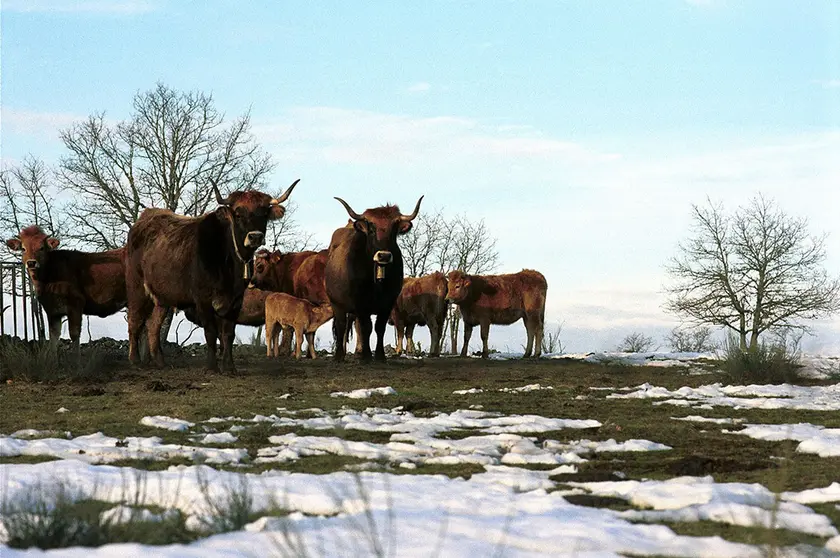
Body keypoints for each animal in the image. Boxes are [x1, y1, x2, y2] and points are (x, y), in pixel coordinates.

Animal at [5, 225, 127, 357]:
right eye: (23, 248)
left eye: (41, 248)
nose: (31, 262)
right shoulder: (52, 309)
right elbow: (53, 336)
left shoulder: (76, 303)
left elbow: (74, 334)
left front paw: (76, 359)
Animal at [125, 179, 299, 373]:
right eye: (238, 214)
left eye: (264, 214)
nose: (255, 237)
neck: (228, 261)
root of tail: (145, 218)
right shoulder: (202, 299)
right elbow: (211, 332)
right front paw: (212, 367)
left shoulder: (236, 300)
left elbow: (228, 334)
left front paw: (229, 367)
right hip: (136, 287)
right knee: (134, 320)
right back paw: (135, 360)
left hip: (163, 297)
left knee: (153, 325)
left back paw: (160, 362)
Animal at [325, 196, 423, 362]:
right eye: (371, 228)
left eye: (394, 229)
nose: (384, 255)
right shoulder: (360, 302)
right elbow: (366, 328)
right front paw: (366, 356)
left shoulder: (388, 303)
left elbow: (379, 328)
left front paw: (379, 355)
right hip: (337, 304)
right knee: (341, 326)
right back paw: (339, 355)